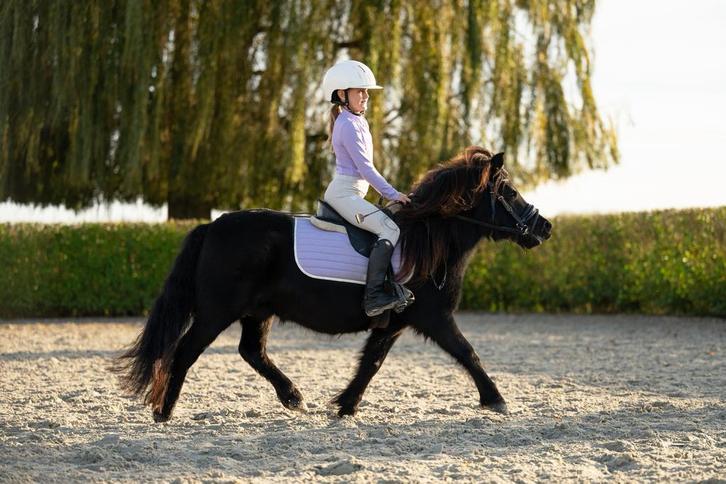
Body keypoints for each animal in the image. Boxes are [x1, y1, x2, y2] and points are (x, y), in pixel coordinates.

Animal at [114, 146, 552, 422]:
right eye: (510, 191)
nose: (544, 227)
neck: (427, 241)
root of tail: (212, 226)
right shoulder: (435, 317)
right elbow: (468, 353)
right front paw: (496, 400)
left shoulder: (394, 322)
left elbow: (370, 363)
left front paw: (345, 406)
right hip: (216, 312)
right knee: (185, 352)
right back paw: (164, 412)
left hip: (257, 312)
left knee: (251, 351)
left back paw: (293, 397)